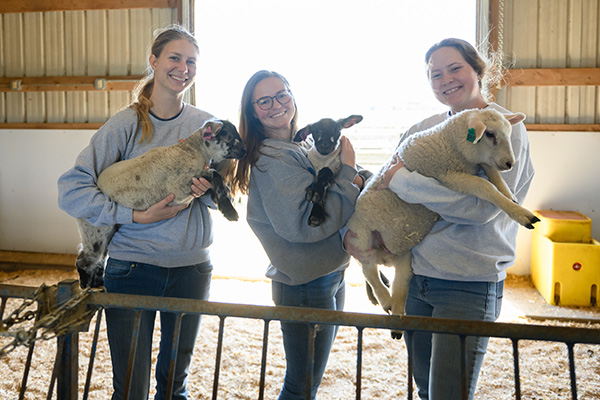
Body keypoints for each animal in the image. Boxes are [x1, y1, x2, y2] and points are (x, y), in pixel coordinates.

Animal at [75, 119, 246, 288]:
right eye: (228, 135)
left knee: (98, 258)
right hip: (95, 230)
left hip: (109, 229)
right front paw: (230, 212)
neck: (191, 150)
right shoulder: (179, 187)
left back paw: (98, 283)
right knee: (84, 259)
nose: (244, 151)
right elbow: (215, 175)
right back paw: (85, 284)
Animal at [346, 107, 540, 338]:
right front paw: (519, 212)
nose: (510, 164)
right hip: (361, 237)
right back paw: (384, 299)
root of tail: (384, 257)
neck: (450, 143)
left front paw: (512, 199)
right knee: (369, 271)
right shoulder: (447, 176)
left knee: (399, 288)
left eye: (509, 133)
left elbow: (495, 177)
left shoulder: (475, 164)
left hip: (404, 259)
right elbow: (484, 185)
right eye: (490, 134)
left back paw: (397, 319)